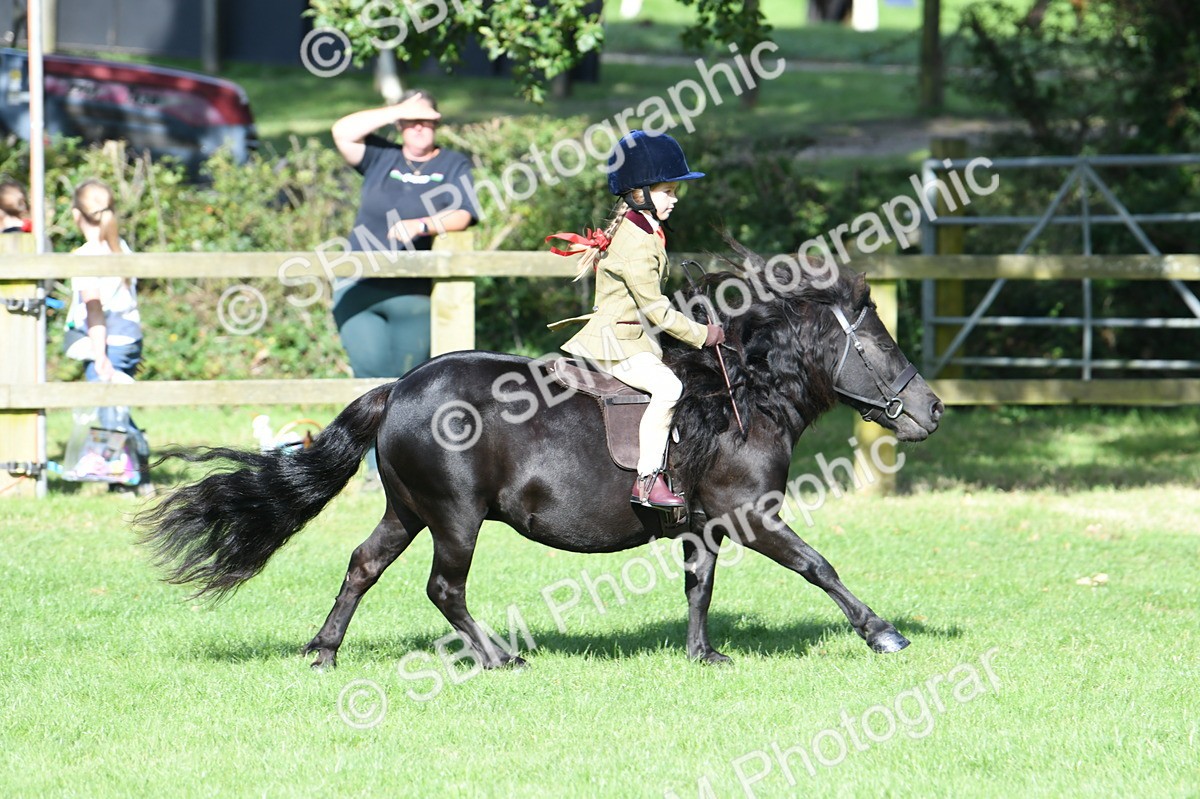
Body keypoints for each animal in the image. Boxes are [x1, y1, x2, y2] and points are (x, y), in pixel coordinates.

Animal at [137, 241, 943, 669]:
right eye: (877, 347)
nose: (932, 410)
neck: (739, 394)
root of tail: (400, 388)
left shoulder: (706, 524)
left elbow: (700, 586)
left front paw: (701, 654)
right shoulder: (751, 514)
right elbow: (819, 567)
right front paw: (884, 632)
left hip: (408, 510)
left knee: (363, 565)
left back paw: (325, 651)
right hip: (455, 517)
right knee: (444, 588)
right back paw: (498, 655)